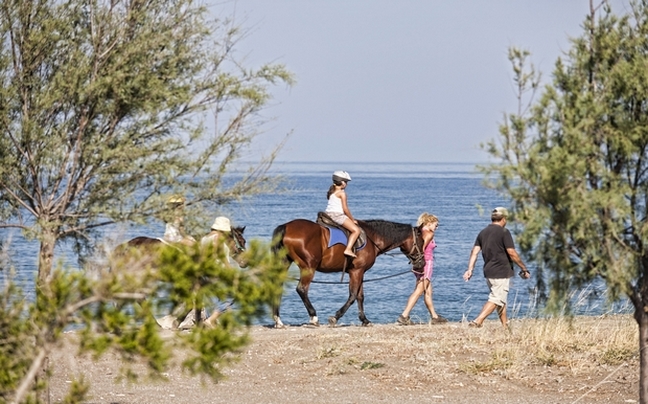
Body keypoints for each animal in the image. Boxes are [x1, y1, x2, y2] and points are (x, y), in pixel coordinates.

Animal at [270, 219, 426, 326]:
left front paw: (364, 320)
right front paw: (336, 317)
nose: (422, 263)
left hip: (284, 263)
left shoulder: (360, 272)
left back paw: (278, 320)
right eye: (422, 241)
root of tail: (286, 227)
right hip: (308, 267)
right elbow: (352, 296)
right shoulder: (356, 271)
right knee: (302, 289)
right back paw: (313, 317)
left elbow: (360, 296)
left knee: (278, 287)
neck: (372, 238)